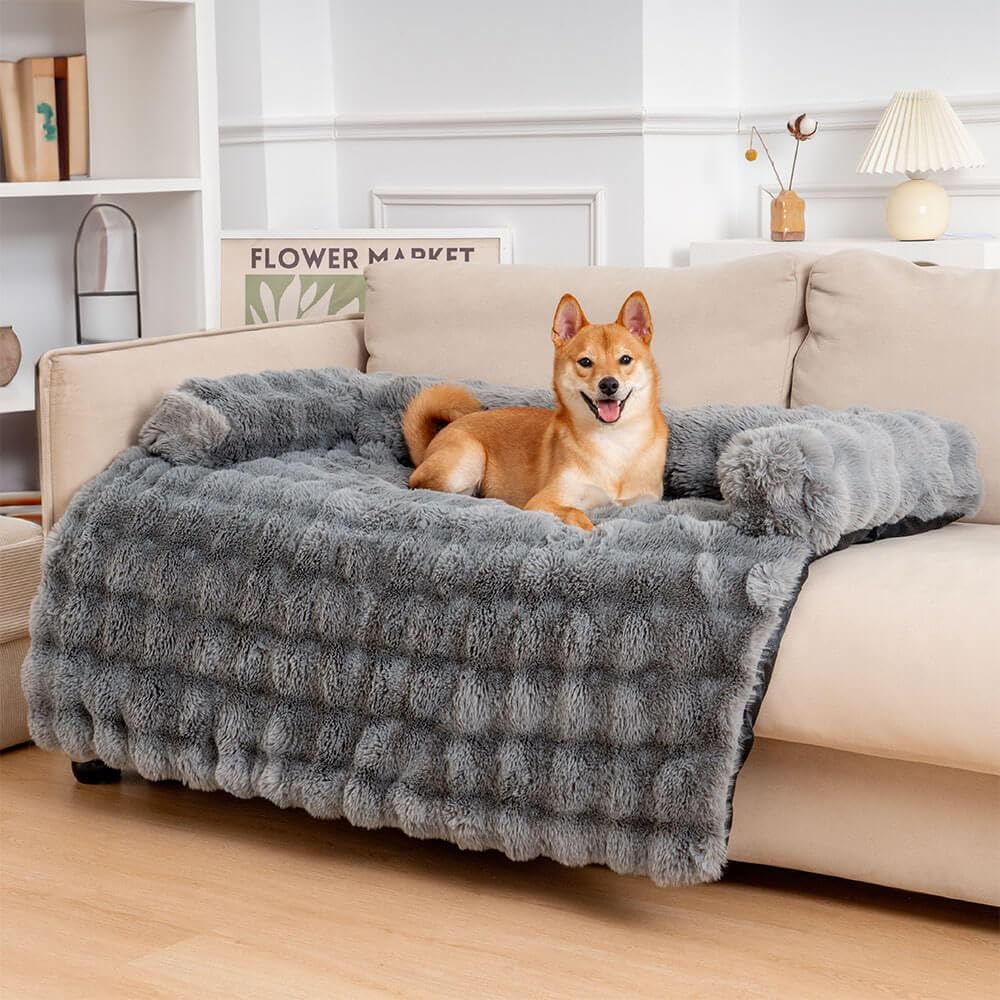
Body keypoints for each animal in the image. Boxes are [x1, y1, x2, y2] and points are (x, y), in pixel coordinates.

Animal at [402, 292, 668, 532]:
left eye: (625, 359)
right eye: (585, 362)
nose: (609, 384)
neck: (614, 440)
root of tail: (431, 444)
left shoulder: (645, 503)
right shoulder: (543, 501)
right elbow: (576, 513)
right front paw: (591, 530)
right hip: (468, 459)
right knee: (421, 484)